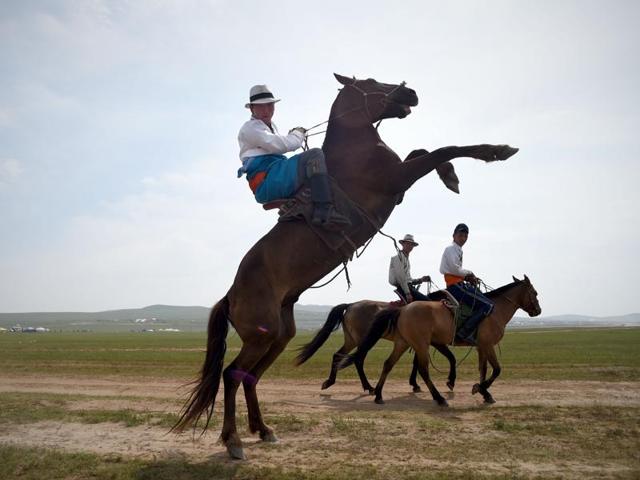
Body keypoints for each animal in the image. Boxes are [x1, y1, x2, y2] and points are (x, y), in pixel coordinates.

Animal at [295, 300, 457, 394]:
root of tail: (350, 305)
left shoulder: (418, 342)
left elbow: (417, 362)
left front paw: (415, 384)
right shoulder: (421, 342)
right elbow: (420, 362)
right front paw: (416, 384)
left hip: (351, 340)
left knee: (338, 355)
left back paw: (329, 382)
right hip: (362, 341)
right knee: (358, 360)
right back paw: (369, 387)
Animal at [339, 276, 541, 406]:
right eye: (535, 292)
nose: (538, 310)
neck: (494, 310)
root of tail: (402, 310)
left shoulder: (481, 347)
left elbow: (482, 369)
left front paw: (484, 393)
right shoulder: (487, 345)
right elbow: (496, 369)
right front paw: (477, 388)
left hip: (402, 343)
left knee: (386, 363)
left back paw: (378, 394)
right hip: (415, 344)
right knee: (421, 369)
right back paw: (438, 398)